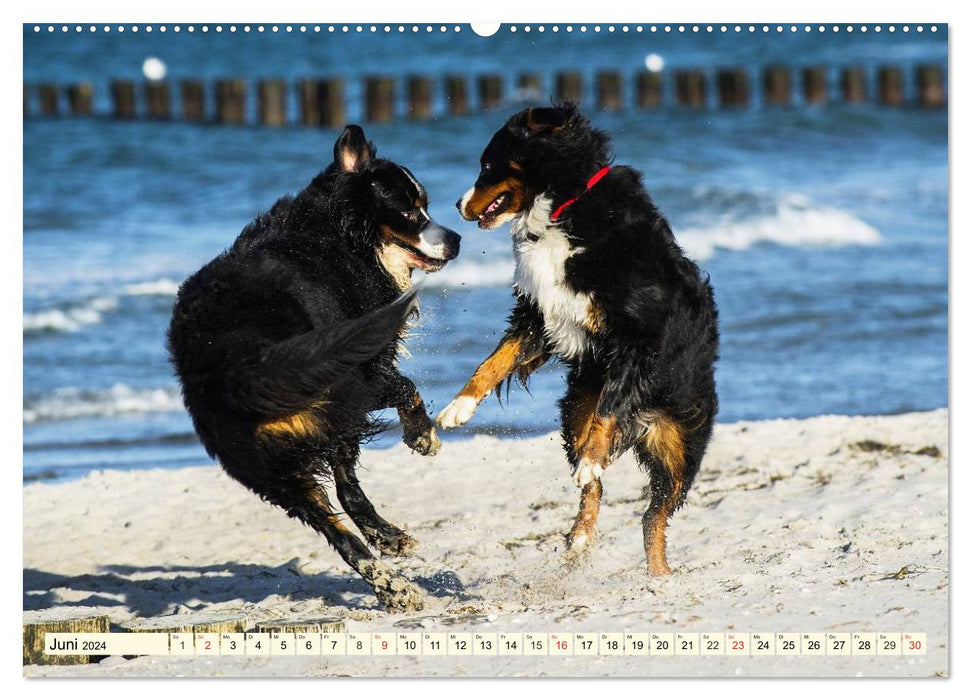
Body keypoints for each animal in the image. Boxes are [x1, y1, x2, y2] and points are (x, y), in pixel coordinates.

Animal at [169, 126, 462, 612]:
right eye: (410, 210)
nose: (456, 238)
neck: (336, 235)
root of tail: (232, 364)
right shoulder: (366, 360)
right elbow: (405, 387)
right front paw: (422, 436)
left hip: (273, 463)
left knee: (341, 527)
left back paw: (392, 572)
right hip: (338, 387)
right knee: (351, 473)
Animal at [436, 102, 716, 576]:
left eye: (488, 165)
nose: (456, 205)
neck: (564, 207)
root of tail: (644, 420)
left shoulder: (636, 336)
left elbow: (608, 411)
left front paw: (591, 457)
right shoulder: (539, 315)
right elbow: (493, 361)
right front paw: (459, 406)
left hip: (682, 444)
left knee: (654, 514)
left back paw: (659, 576)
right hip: (573, 411)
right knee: (603, 493)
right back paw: (582, 536)